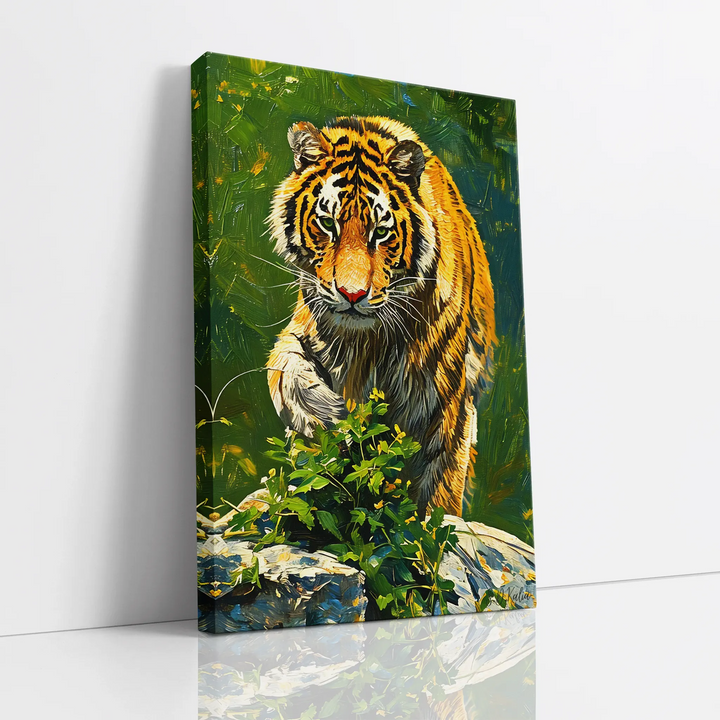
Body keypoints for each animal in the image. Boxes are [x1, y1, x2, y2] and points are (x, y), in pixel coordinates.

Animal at [266, 116, 496, 517]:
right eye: (328, 224)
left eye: (382, 231)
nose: (352, 295)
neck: (364, 341)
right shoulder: (303, 327)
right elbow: (283, 368)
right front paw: (325, 414)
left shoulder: (446, 396)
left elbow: (439, 487)